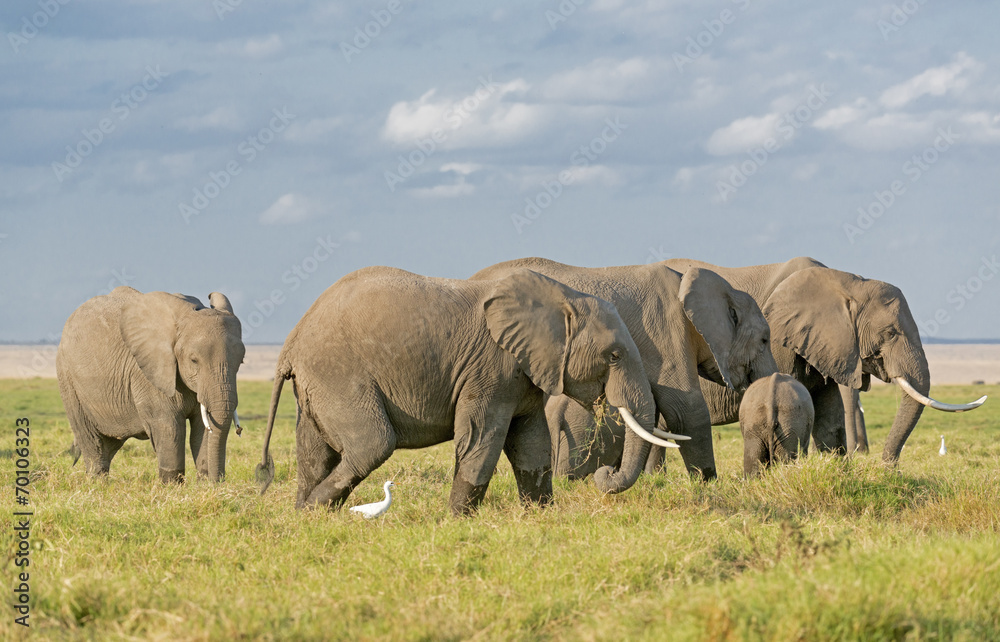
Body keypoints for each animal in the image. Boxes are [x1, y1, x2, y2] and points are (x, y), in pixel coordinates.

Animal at [57, 287, 245, 483]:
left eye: (241, 361)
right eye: (194, 360)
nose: (217, 484)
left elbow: (204, 428)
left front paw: (204, 485)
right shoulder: (149, 373)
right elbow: (169, 427)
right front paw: (171, 486)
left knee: (109, 445)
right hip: (68, 380)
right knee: (93, 442)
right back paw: (97, 484)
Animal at [255, 266, 664, 516]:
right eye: (614, 355)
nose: (605, 475)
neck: (563, 296)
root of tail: (291, 342)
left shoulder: (524, 372)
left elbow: (532, 445)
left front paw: (542, 516)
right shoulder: (490, 369)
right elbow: (483, 438)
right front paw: (456, 520)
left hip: (317, 386)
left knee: (314, 452)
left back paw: (303, 515)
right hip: (339, 376)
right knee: (373, 443)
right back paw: (316, 510)